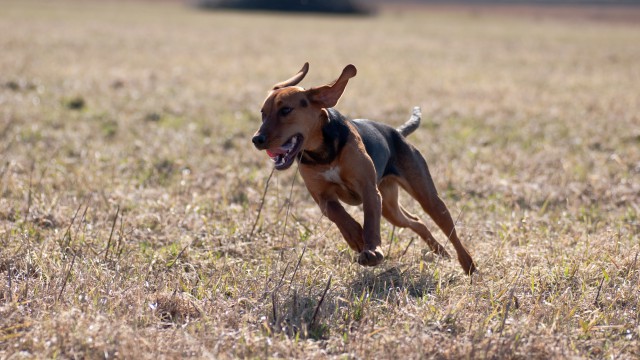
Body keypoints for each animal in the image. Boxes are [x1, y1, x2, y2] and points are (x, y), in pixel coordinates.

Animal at [252, 62, 478, 276]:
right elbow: (340, 216)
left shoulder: (368, 189)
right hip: (389, 207)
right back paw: (440, 251)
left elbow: (370, 221)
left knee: (449, 230)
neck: (323, 154)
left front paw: (371, 250)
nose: (257, 139)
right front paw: (357, 239)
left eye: (286, 110)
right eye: (263, 113)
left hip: (427, 198)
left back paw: (468, 265)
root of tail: (397, 132)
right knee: (416, 221)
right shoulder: (323, 197)